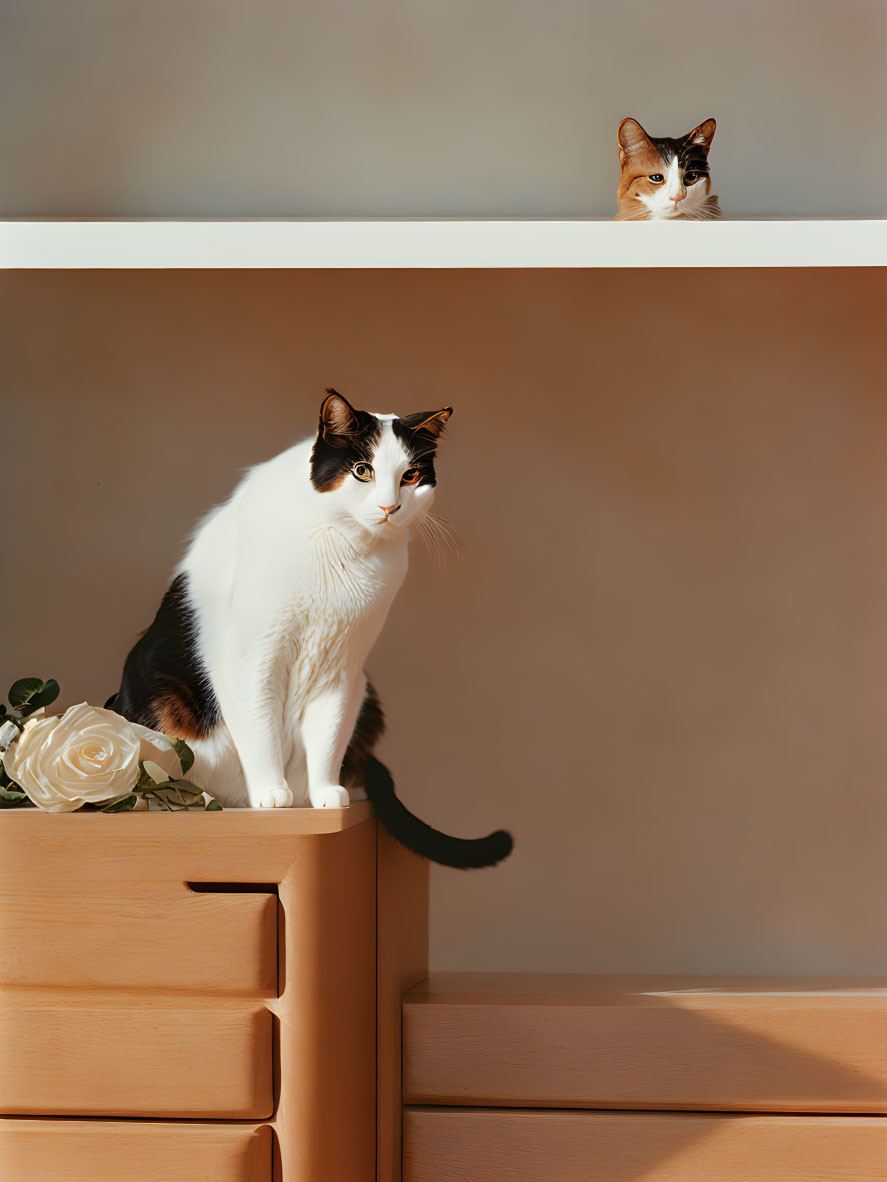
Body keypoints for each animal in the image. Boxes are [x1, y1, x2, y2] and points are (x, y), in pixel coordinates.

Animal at [111, 390, 513, 869]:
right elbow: (260, 726)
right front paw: (271, 793)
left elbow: (329, 734)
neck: (344, 546)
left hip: (367, 699)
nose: (389, 506)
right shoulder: (254, 659)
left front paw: (324, 795)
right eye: (362, 470)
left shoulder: (342, 670)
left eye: (411, 476)